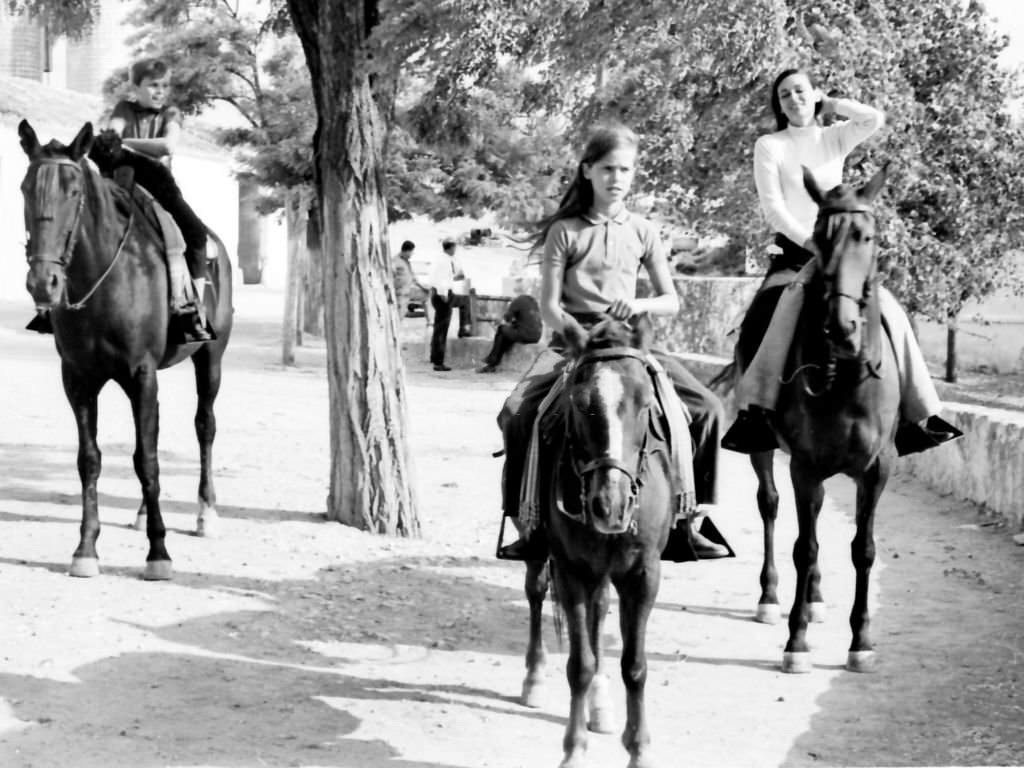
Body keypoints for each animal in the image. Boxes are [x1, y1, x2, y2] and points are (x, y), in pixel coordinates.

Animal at [19, 118, 234, 577]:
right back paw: (139, 514)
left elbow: (146, 459)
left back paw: (206, 513)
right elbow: (91, 459)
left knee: (204, 426)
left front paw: (159, 552)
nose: (43, 283)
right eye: (25, 187)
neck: (103, 277)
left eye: (74, 191)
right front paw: (85, 549)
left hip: (211, 358)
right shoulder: (78, 378)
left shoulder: (141, 374)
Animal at [520, 317, 679, 768]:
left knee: (600, 612)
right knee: (535, 591)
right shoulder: (572, 570)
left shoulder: (643, 575)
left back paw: (601, 706)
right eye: (579, 403)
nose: (610, 505)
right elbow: (580, 665)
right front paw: (574, 750)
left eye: (645, 403)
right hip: (540, 551)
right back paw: (534, 677)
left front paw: (639, 749)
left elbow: (635, 665)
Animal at [737, 167, 897, 671]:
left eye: (867, 236)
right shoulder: (804, 467)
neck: (843, 378)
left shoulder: (876, 469)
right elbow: (803, 549)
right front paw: (796, 640)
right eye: (820, 238)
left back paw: (816, 598)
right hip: (764, 448)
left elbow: (863, 549)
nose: (841, 327)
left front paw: (861, 641)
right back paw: (771, 598)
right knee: (769, 504)